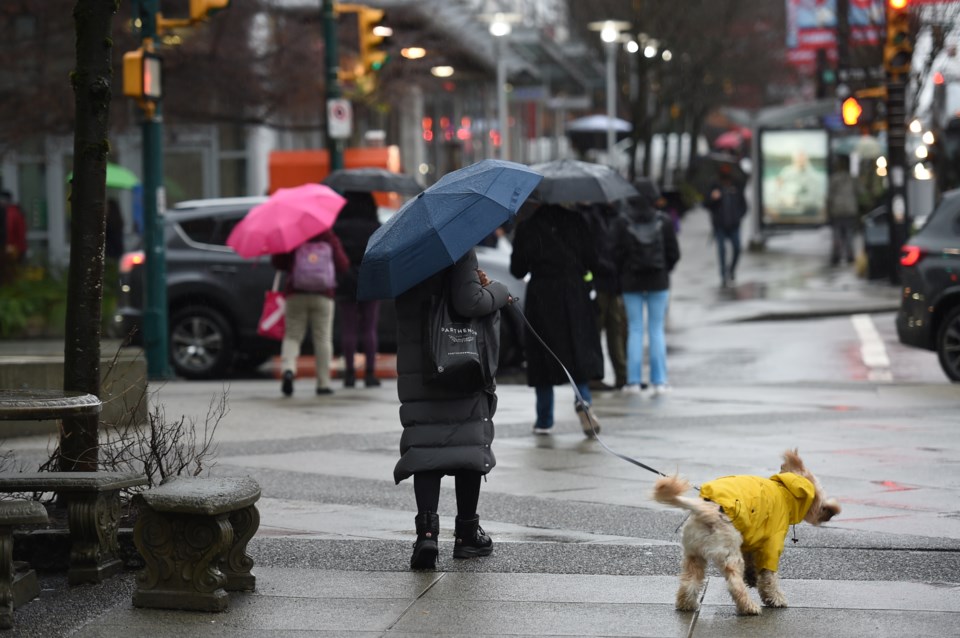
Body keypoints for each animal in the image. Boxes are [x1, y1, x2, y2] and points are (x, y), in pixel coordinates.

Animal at [652, 448, 840, 616]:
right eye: (821, 501)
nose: (832, 512)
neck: (784, 491)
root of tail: (707, 510)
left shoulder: (750, 542)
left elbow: (753, 564)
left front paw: (752, 578)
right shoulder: (772, 545)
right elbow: (769, 577)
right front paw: (775, 598)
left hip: (694, 555)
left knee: (689, 582)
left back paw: (686, 604)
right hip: (730, 555)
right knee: (734, 584)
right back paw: (748, 607)